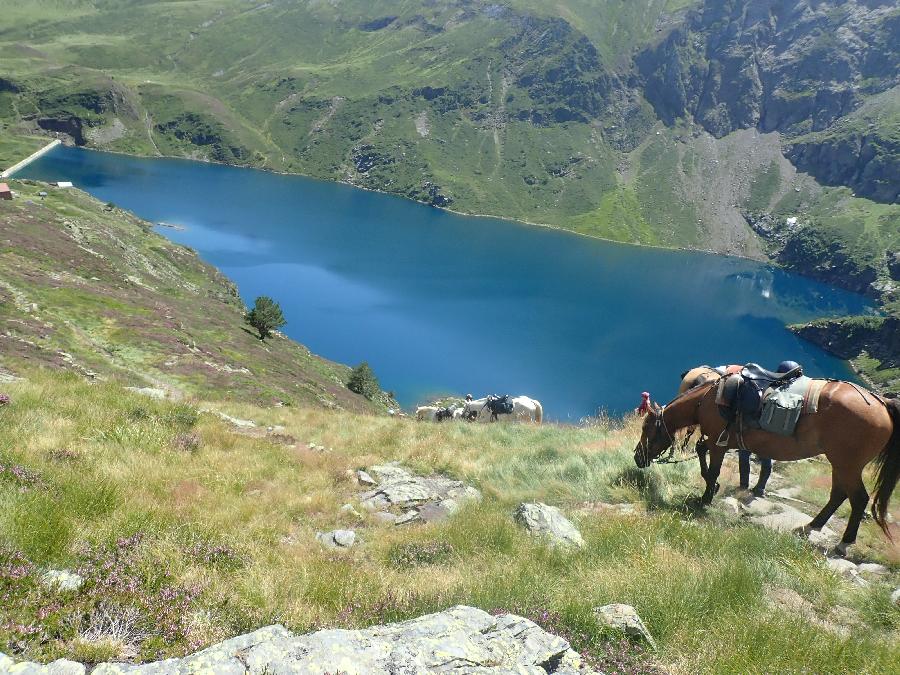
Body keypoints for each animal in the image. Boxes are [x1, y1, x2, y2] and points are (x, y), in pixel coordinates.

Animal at [632, 380, 900, 556]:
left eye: (646, 428)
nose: (637, 457)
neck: (706, 399)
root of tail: (882, 404)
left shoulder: (719, 442)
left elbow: (713, 466)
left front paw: (706, 497)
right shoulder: (720, 441)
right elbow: (700, 451)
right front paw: (712, 487)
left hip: (847, 464)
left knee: (858, 498)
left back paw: (843, 543)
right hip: (840, 464)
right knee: (838, 495)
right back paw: (810, 526)